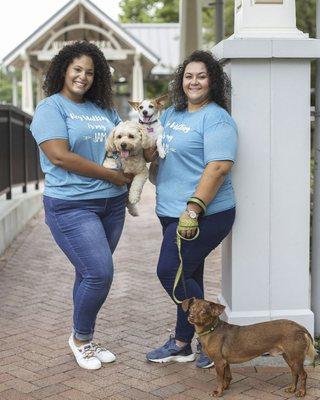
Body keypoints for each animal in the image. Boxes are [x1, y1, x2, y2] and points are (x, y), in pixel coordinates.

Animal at [181, 296, 316, 396]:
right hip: (289, 357)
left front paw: (219, 392)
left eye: (203, 312)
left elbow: (220, 379)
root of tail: (300, 328)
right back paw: (292, 389)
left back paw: (301, 392)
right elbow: (228, 377)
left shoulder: (219, 362)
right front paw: (225, 387)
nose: (190, 317)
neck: (211, 330)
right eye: (191, 308)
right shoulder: (225, 362)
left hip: (295, 358)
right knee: (294, 373)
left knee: (303, 374)